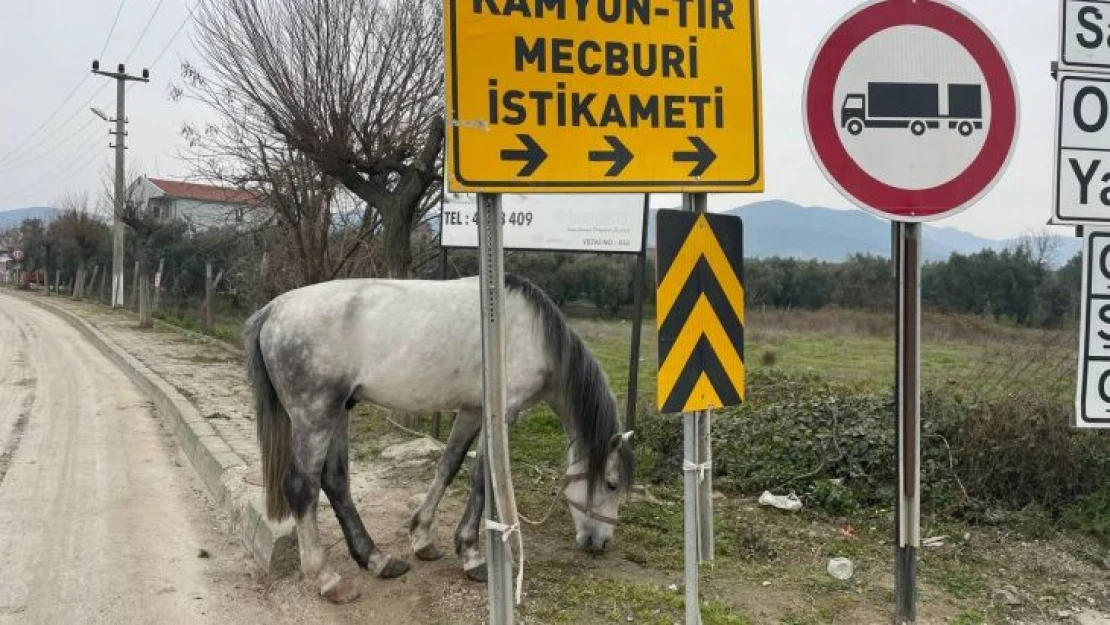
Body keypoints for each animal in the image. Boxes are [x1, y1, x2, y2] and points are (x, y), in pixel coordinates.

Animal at [247, 276, 639, 603]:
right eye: (611, 483)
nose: (601, 542)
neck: (533, 334)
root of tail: (273, 310)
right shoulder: (500, 414)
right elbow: (482, 481)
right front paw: (471, 555)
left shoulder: (471, 411)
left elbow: (448, 466)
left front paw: (422, 537)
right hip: (315, 414)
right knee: (302, 487)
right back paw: (327, 579)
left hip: (340, 410)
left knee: (335, 481)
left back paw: (377, 559)